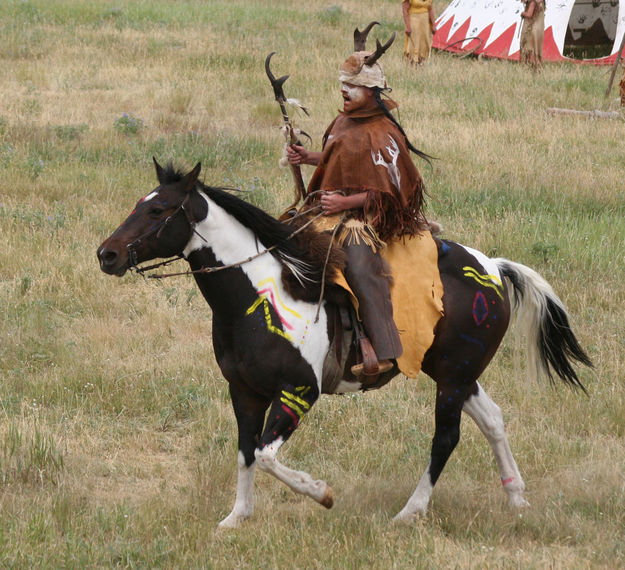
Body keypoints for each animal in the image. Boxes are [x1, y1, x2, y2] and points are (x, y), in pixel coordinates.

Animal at [95, 159, 588, 524]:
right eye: (141, 204)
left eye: (158, 211)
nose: (107, 254)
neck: (260, 295)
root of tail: (494, 269)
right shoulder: (244, 393)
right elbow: (245, 454)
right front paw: (237, 518)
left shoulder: (297, 392)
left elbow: (266, 455)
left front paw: (321, 493)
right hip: (456, 374)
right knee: (493, 419)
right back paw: (516, 498)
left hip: (452, 378)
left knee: (446, 438)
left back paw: (409, 513)